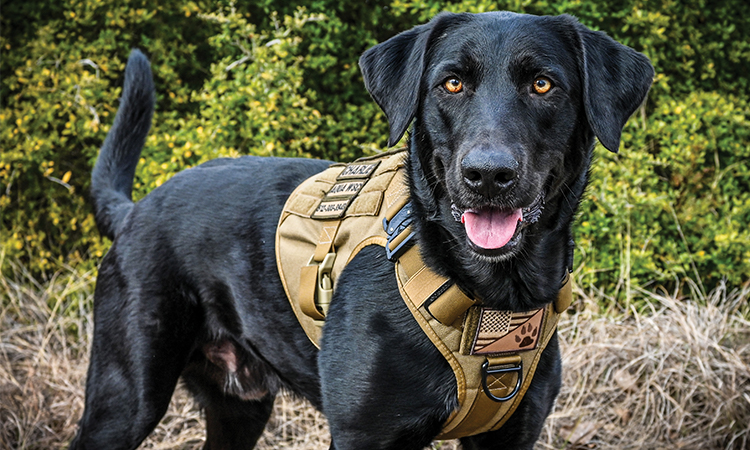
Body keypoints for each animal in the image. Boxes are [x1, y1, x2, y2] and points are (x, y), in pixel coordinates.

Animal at [73, 10, 656, 450]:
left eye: (542, 84)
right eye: (451, 83)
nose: (488, 175)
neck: (490, 292)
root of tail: (134, 209)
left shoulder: (508, 437)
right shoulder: (363, 435)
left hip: (240, 408)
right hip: (125, 397)